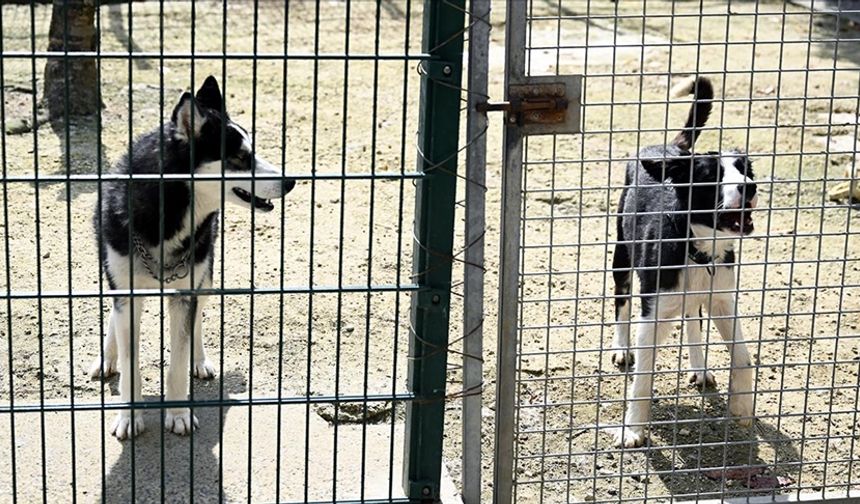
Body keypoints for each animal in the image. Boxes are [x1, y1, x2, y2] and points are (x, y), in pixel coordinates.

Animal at [88, 76, 294, 440]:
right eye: (240, 157)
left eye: (253, 151)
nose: (291, 181)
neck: (167, 213)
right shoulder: (125, 288)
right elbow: (129, 359)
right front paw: (129, 415)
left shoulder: (186, 290)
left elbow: (179, 360)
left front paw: (179, 413)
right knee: (114, 318)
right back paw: (107, 356)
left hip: (205, 272)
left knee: (197, 319)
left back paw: (200, 361)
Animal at [612, 77, 760, 446]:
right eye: (712, 176)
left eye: (745, 170)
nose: (750, 187)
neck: (699, 246)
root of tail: (667, 147)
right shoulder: (652, 314)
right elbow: (642, 378)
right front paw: (633, 429)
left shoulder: (723, 299)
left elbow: (743, 357)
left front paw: (741, 408)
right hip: (621, 254)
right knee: (621, 300)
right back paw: (621, 347)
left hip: (697, 294)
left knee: (693, 318)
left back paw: (699, 366)